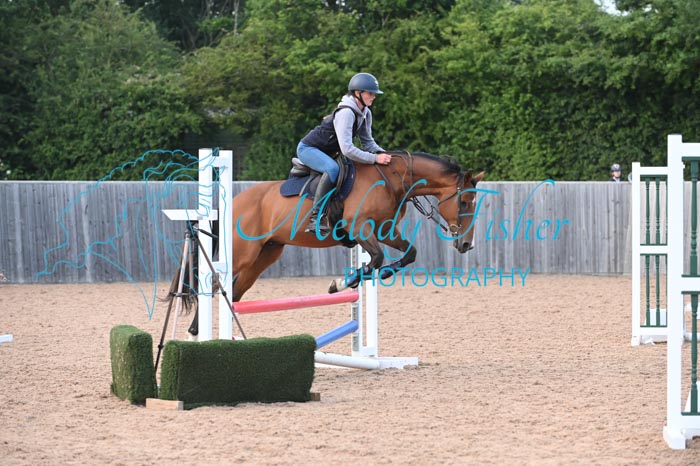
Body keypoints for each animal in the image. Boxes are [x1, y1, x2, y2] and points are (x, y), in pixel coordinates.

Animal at [166, 151, 485, 335]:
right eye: (464, 201)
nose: (466, 245)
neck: (392, 180)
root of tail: (233, 202)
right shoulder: (361, 228)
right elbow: (378, 259)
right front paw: (341, 283)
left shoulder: (385, 232)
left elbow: (408, 254)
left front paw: (362, 278)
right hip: (242, 254)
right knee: (214, 282)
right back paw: (196, 330)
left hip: (264, 256)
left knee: (234, 290)